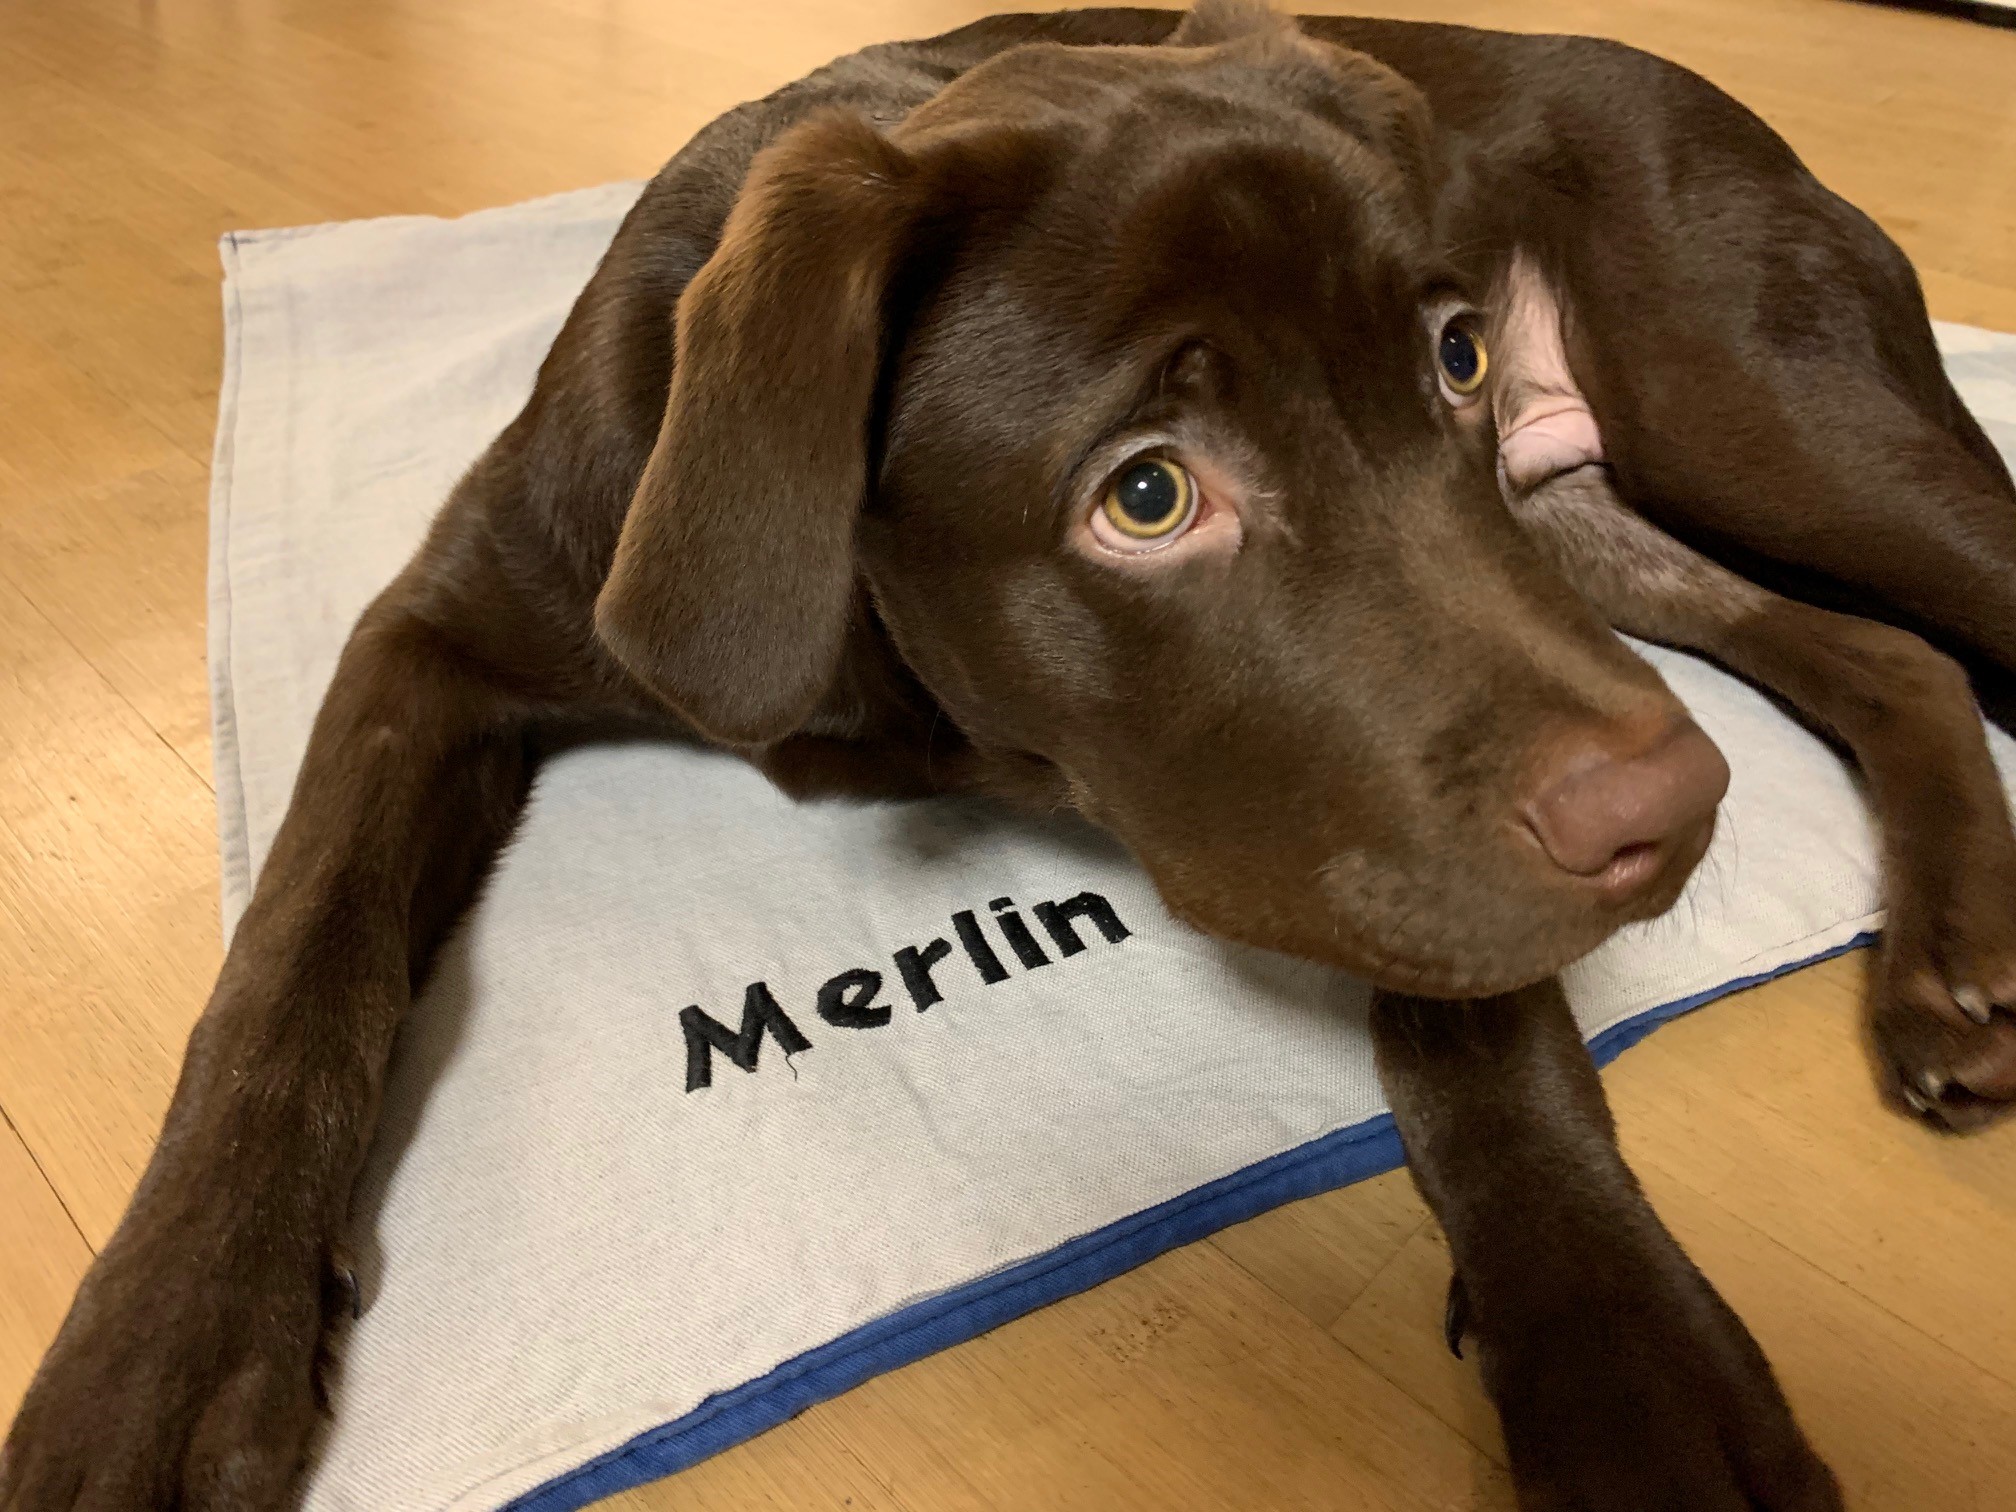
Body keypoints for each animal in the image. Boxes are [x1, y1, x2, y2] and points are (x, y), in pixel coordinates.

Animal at [7, 3, 2015, 1508]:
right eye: (1148, 495)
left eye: (1447, 356)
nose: (1678, 817)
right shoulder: (439, 629)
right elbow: (295, 955)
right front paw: (158, 1362)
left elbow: (1478, 1017)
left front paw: (1625, 1352)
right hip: (1599, 514)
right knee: (1896, 659)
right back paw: (1951, 963)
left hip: (1742, 408)